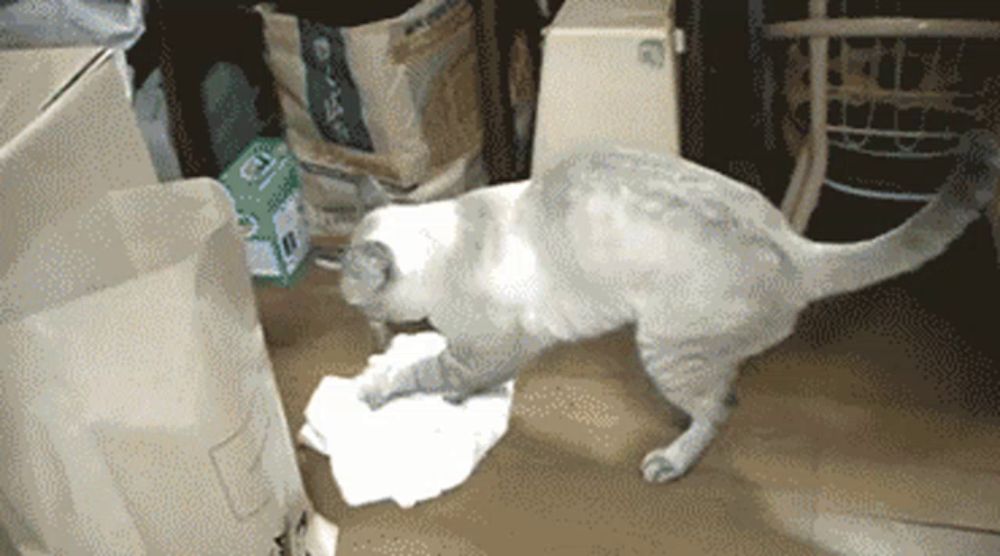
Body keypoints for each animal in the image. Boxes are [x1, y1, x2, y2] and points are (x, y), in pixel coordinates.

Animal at [332, 131, 996, 482]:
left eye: (354, 299)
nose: (365, 328)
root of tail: (793, 244)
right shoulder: (488, 356)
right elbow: (463, 380)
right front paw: (454, 397)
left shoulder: (482, 348)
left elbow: (420, 372)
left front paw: (377, 387)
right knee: (726, 388)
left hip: (661, 345)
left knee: (721, 408)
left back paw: (670, 460)